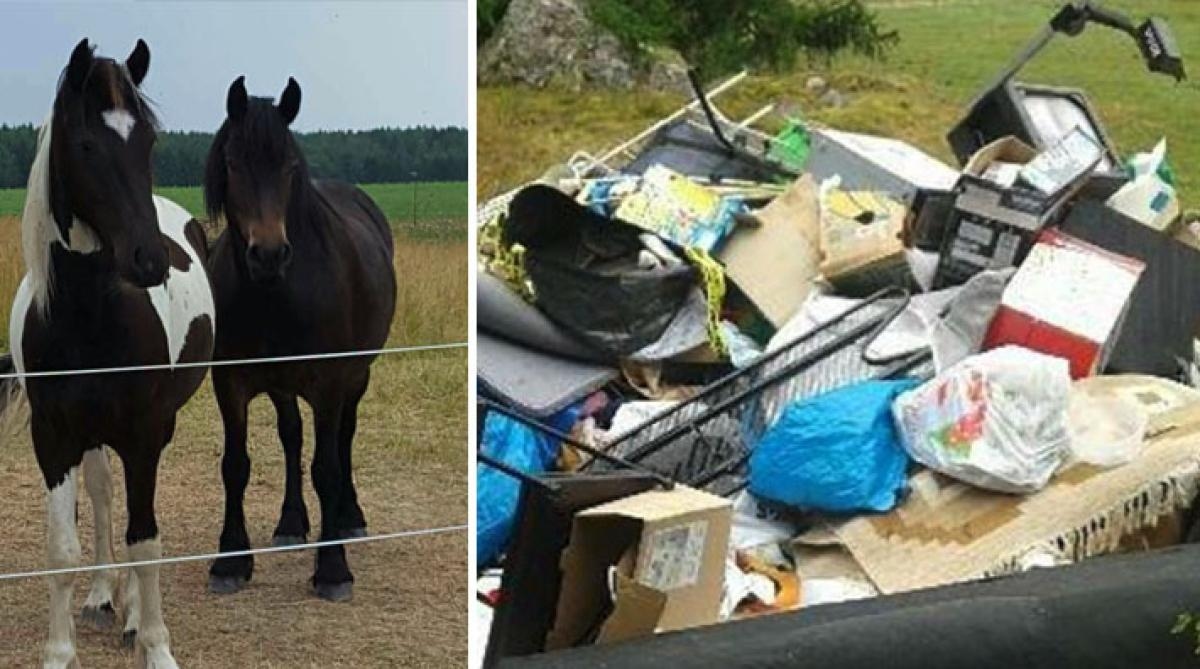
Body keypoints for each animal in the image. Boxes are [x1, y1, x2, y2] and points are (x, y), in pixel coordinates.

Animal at [9, 39, 216, 666]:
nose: (149, 259)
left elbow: (145, 542)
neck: (87, 321)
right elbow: (62, 551)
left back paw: (129, 613)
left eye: (148, 141)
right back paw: (105, 595)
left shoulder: (145, 430)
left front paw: (155, 644)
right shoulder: (53, 437)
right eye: (85, 145)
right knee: (103, 497)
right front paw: (59, 652)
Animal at [204, 74, 396, 604]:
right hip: (282, 383)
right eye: (233, 162)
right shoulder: (230, 383)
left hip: (357, 374)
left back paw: (348, 517)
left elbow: (327, 467)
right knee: (291, 436)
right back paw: (291, 522)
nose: (268, 254)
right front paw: (231, 560)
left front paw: (333, 569)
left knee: (343, 439)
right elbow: (236, 464)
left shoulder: (330, 382)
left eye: (289, 166)